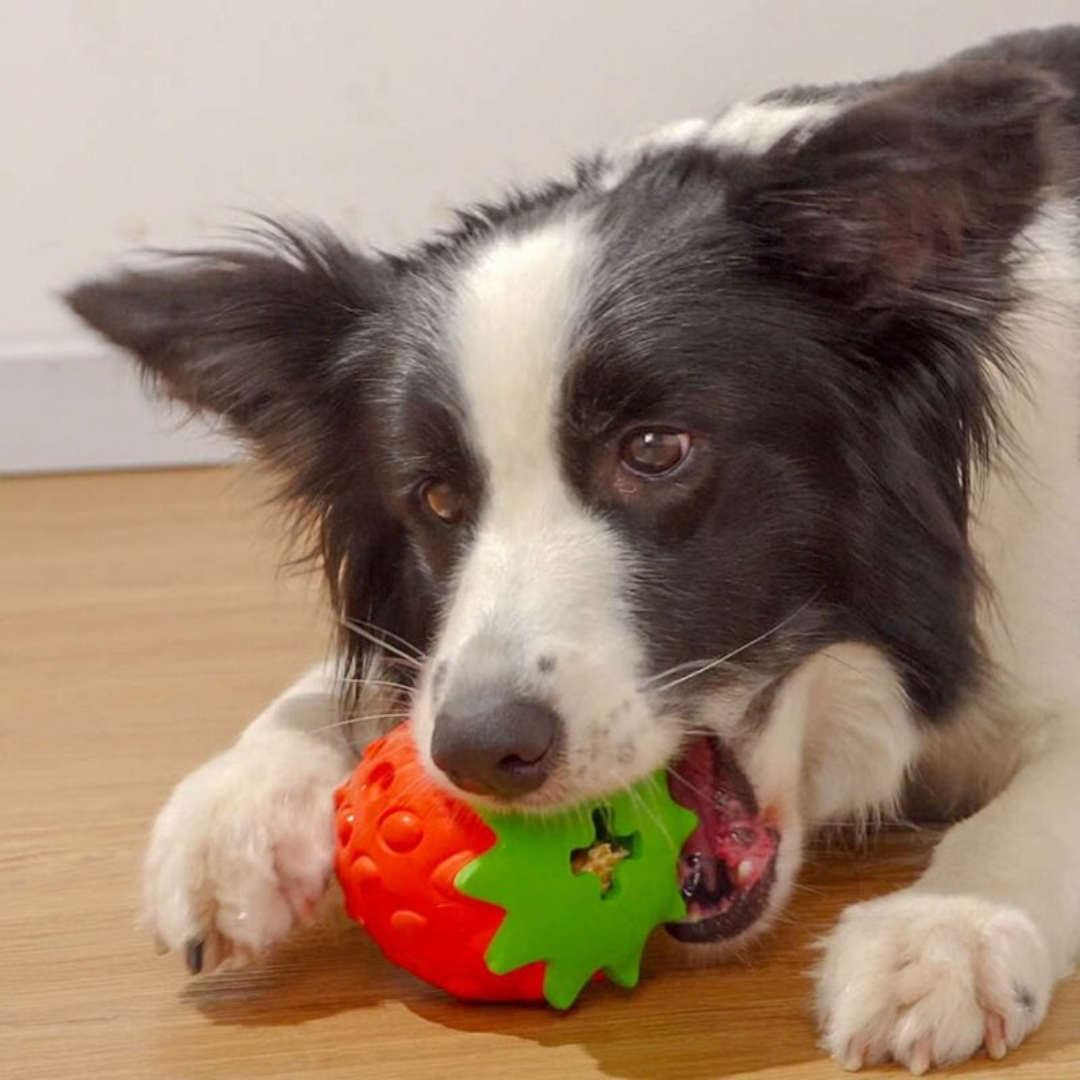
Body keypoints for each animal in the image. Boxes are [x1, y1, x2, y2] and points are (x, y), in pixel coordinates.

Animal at [67, 25, 1080, 1071]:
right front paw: (236, 806)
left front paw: (950, 926)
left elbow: (1044, 801)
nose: (480, 751)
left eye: (657, 449)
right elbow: (366, 683)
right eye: (436, 497)